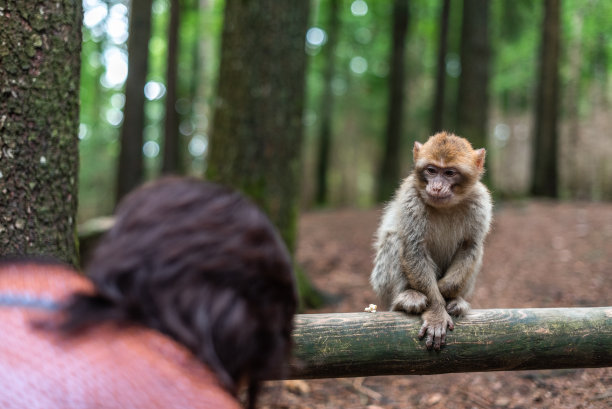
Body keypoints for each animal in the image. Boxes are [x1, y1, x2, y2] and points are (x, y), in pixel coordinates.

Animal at [368, 132, 492, 350]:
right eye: (431, 170)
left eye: (449, 173)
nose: (436, 186)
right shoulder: (411, 197)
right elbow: (413, 247)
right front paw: (436, 311)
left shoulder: (480, 202)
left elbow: (470, 246)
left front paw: (445, 290)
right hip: (380, 283)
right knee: (394, 239)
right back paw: (405, 298)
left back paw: (457, 300)